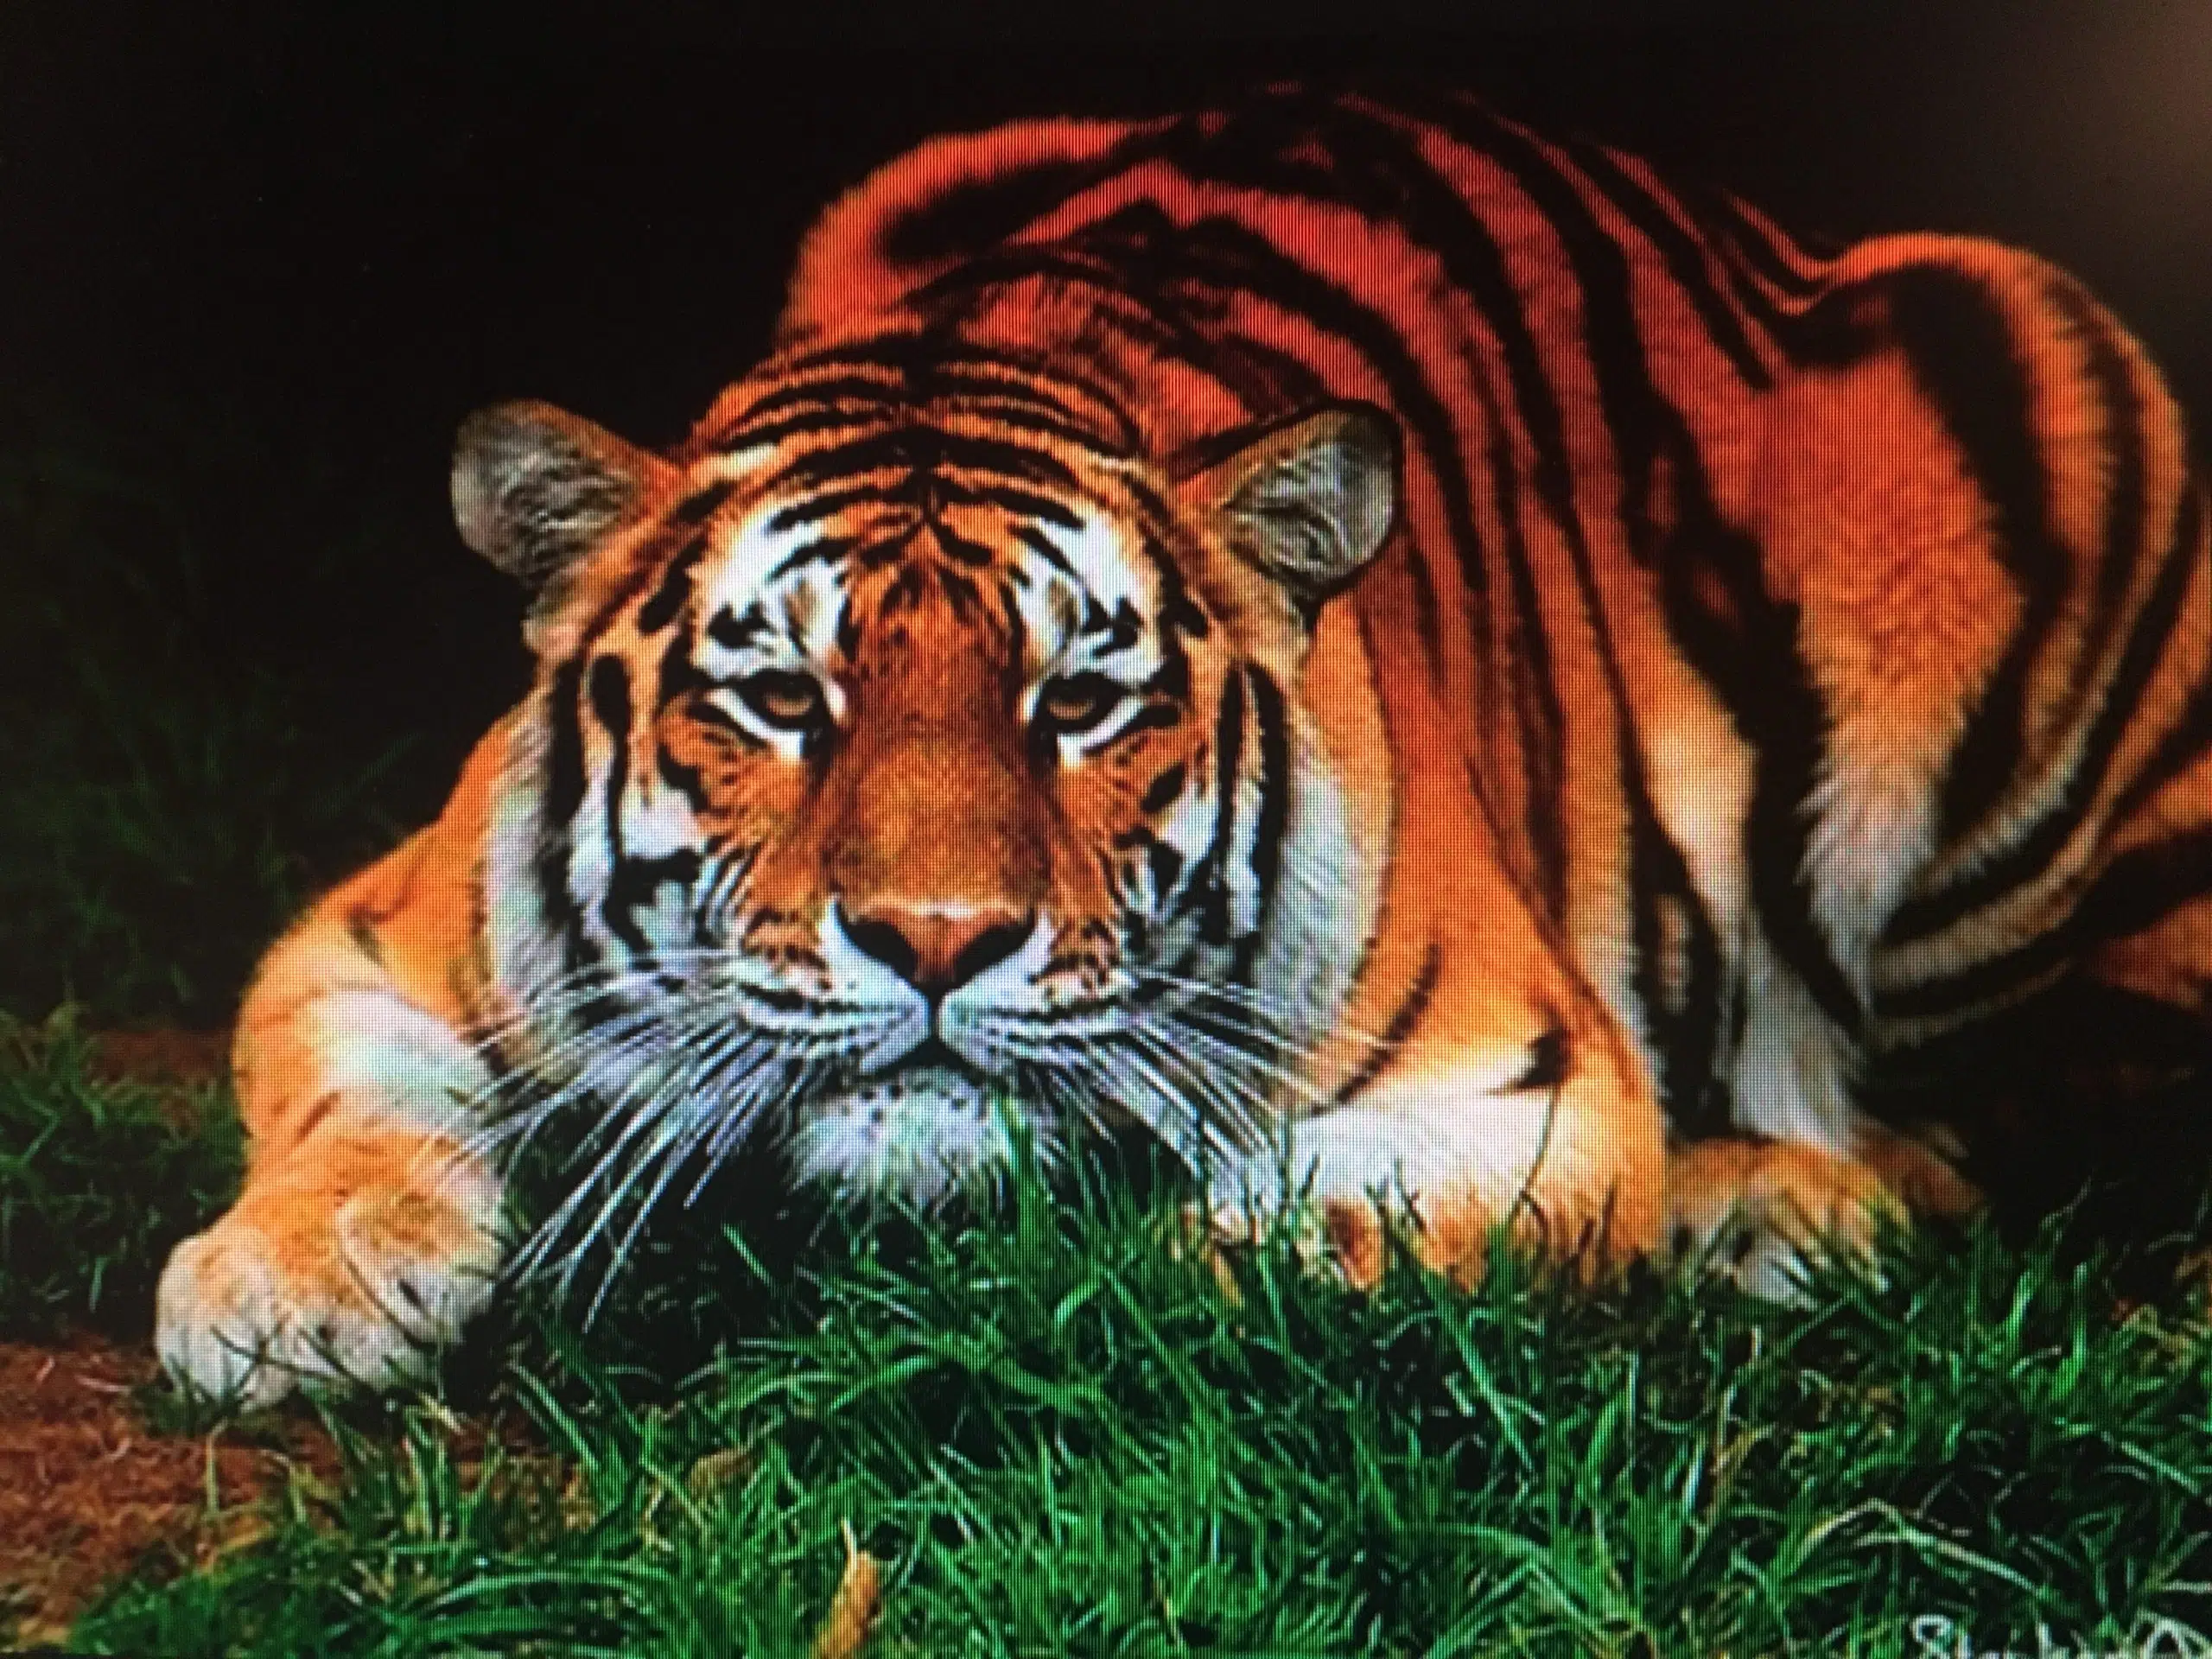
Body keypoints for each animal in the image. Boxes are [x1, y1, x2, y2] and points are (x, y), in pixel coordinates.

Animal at [156, 85, 2212, 1408]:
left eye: (1079, 702)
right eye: (783, 701)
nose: (933, 945)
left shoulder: (1519, 1086)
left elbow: (1287, 1246)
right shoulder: (371, 926)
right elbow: (345, 1094)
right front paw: (287, 1288)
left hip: (2024, 393)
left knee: (2032, 1107)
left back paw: (1770, 1209)